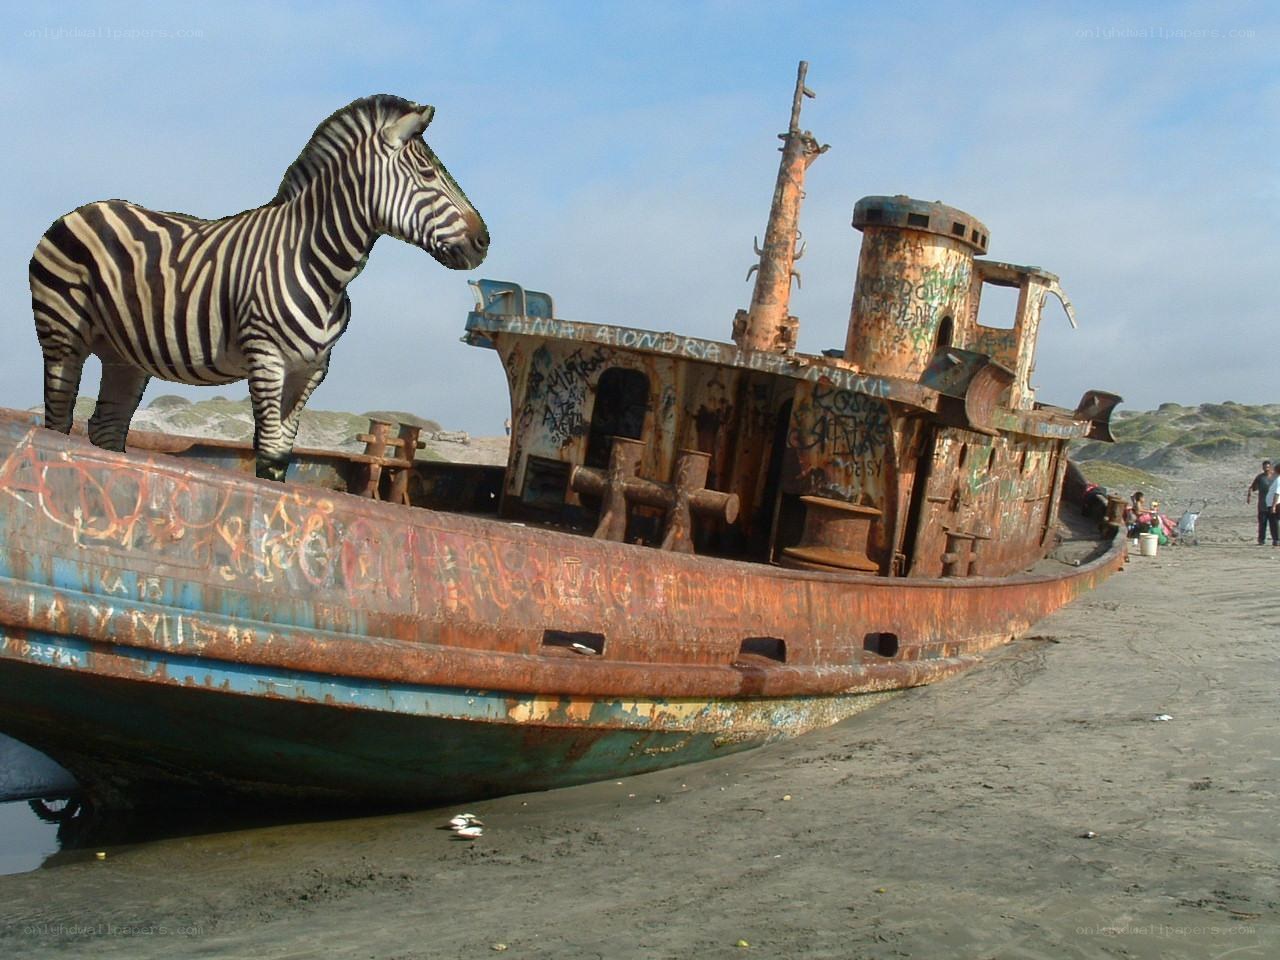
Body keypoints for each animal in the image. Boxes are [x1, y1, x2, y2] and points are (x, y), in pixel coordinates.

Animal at [30, 94, 488, 481]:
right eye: (428, 173)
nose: (484, 241)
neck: (317, 261)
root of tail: (82, 209)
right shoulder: (267, 358)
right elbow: (266, 452)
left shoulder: (311, 370)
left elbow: (281, 456)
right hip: (62, 335)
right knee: (58, 421)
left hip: (123, 353)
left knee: (105, 427)